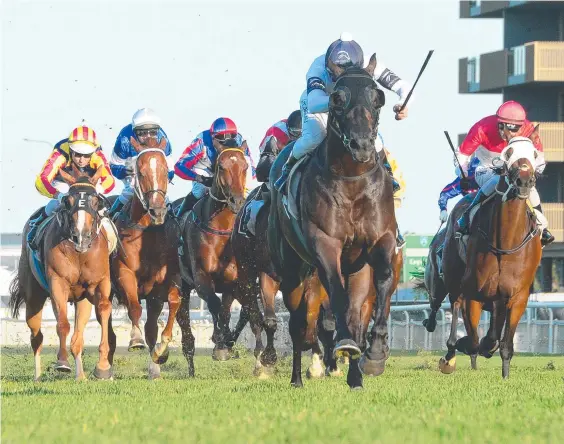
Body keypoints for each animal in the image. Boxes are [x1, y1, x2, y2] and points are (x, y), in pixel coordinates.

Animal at [9, 179, 114, 380]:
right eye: (68, 201)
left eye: (95, 202)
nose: (81, 235)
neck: (79, 252)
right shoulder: (58, 283)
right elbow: (63, 324)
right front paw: (62, 363)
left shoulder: (98, 284)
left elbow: (103, 310)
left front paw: (103, 367)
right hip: (34, 297)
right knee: (36, 336)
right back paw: (38, 377)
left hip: (81, 301)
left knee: (78, 337)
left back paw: (81, 376)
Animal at [110, 136, 181, 378]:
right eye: (139, 172)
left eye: (166, 169)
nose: (157, 211)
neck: (147, 234)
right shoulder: (125, 273)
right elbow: (134, 307)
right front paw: (135, 339)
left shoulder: (164, 282)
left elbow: (174, 303)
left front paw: (161, 352)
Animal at [176, 142, 247, 364]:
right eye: (221, 167)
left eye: (245, 166)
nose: (237, 201)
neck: (221, 230)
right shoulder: (201, 278)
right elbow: (215, 305)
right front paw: (220, 342)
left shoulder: (233, 280)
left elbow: (228, 310)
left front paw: (225, 343)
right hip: (181, 283)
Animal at [270, 55, 398, 388]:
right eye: (337, 99)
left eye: (378, 98)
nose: (362, 145)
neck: (352, 181)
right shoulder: (326, 244)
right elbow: (336, 293)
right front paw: (346, 346)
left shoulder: (380, 241)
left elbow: (382, 280)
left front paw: (374, 353)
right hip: (293, 268)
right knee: (299, 322)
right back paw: (297, 378)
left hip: (353, 267)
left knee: (353, 311)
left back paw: (355, 375)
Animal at [452, 137, 540, 376]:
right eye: (508, 152)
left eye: (534, 154)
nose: (524, 181)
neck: (505, 242)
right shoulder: (473, 293)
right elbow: (473, 340)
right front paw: (464, 344)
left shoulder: (518, 296)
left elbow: (505, 343)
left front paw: (505, 374)